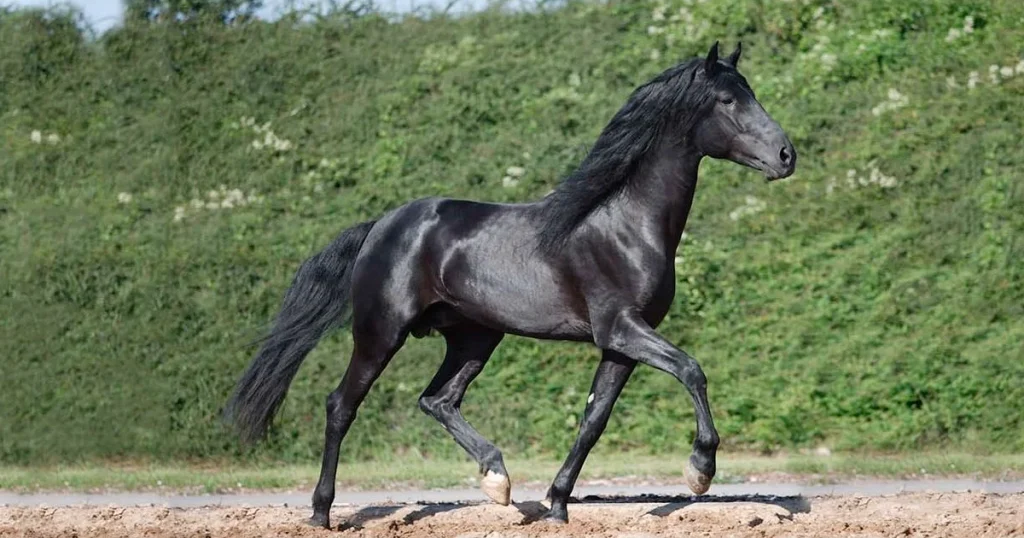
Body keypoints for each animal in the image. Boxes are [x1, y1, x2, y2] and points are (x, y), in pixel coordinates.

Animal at [224, 41, 796, 528]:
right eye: (728, 99)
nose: (787, 156)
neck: (625, 223)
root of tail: (381, 226)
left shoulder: (620, 345)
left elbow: (594, 420)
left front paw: (557, 506)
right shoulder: (622, 329)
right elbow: (692, 370)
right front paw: (699, 471)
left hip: (475, 337)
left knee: (437, 400)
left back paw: (498, 482)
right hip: (380, 333)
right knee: (341, 405)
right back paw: (321, 513)